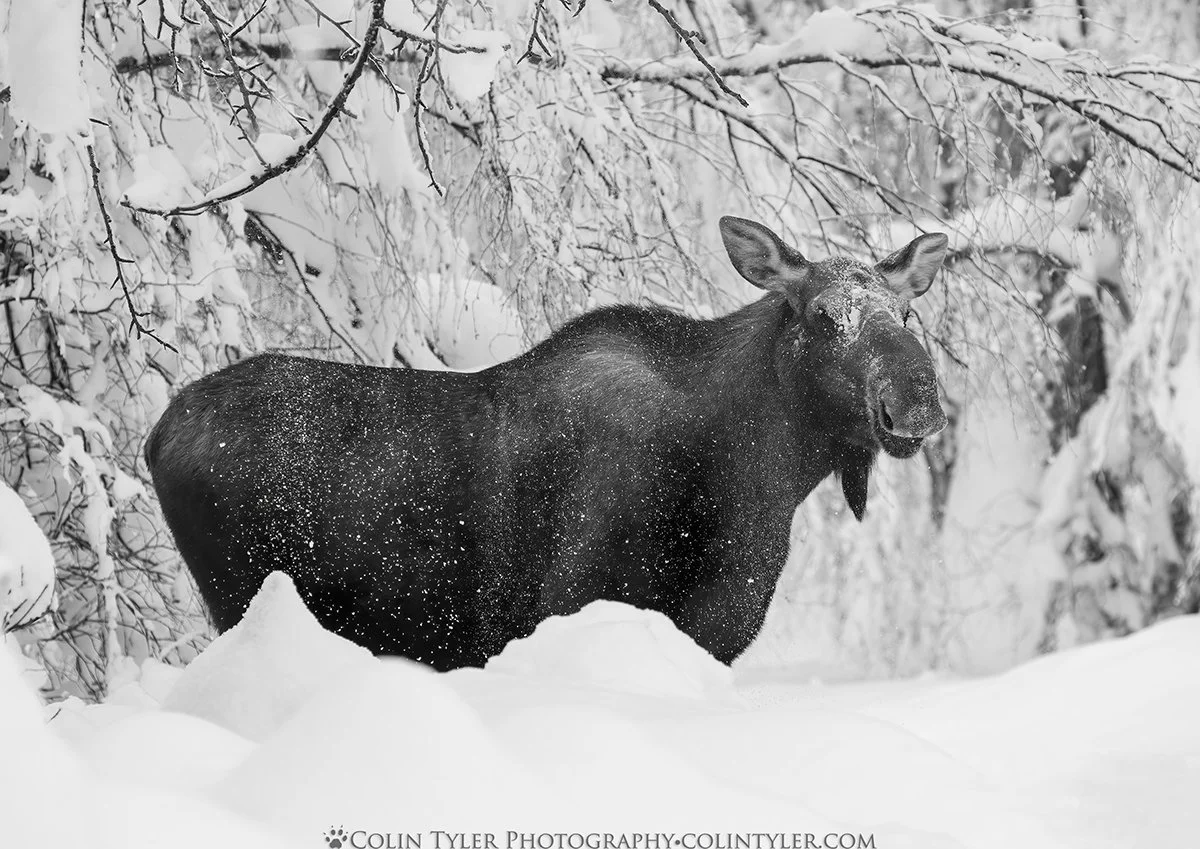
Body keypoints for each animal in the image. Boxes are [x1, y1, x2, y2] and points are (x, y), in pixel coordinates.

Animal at [145, 216, 949, 671]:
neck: (760, 484)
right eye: (822, 314)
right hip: (237, 594)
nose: (916, 398)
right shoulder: (571, 604)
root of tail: (156, 434)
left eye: (908, 311)